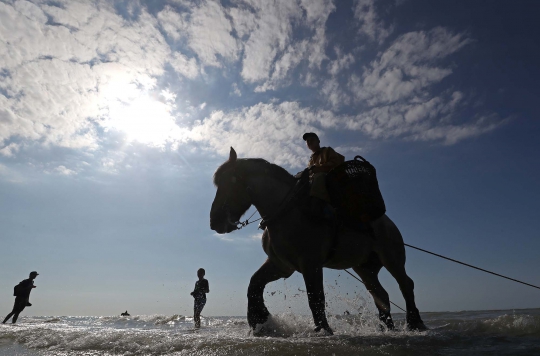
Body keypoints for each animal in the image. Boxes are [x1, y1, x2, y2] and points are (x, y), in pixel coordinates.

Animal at [211, 147, 426, 334]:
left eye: (228, 183)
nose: (215, 221)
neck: (288, 211)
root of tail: (386, 221)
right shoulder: (281, 265)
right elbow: (254, 285)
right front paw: (260, 320)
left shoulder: (311, 264)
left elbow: (315, 297)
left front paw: (323, 329)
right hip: (365, 269)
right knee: (380, 294)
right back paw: (387, 327)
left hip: (392, 259)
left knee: (406, 285)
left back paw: (415, 323)